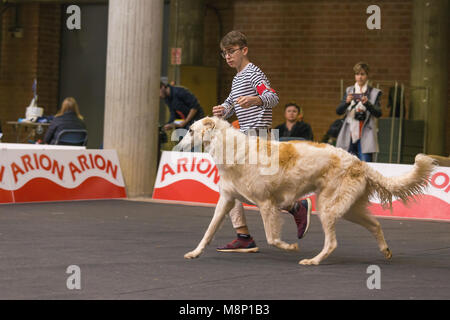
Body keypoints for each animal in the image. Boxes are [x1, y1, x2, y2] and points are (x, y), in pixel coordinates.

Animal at [176, 117, 436, 264]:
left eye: (190, 130)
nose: (177, 146)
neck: (233, 150)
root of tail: (358, 162)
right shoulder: (227, 200)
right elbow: (208, 232)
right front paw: (194, 253)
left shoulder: (266, 204)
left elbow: (273, 239)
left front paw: (292, 247)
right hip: (348, 209)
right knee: (376, 225)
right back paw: (386, 251)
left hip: (329, 208)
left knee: (332, 243)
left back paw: (313, 261)